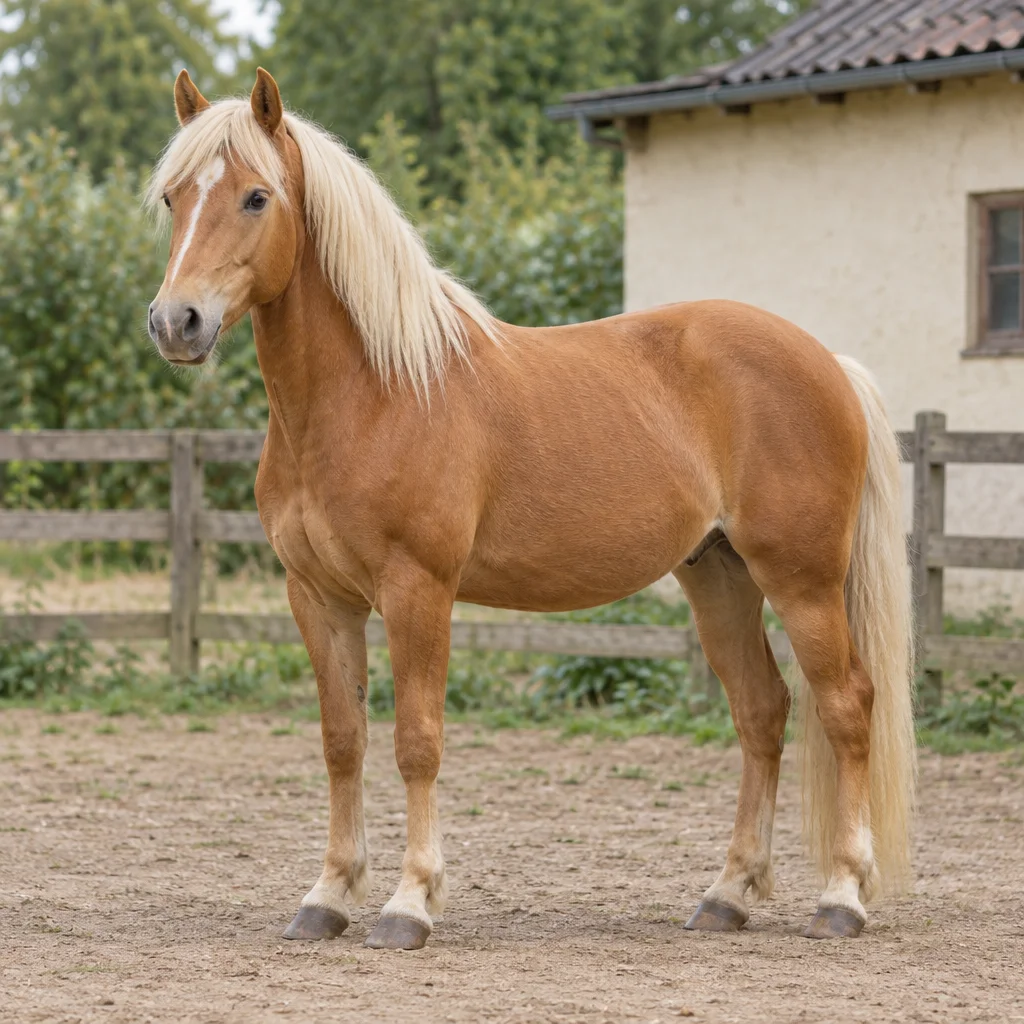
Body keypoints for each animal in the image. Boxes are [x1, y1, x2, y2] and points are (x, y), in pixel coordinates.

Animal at [145, 68, 916, 950]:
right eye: (172, 197)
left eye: (256, 196)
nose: (176, 322)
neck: (375, 391)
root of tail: (829, 362)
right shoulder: (318, 598)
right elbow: (344, 742)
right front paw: (329, 896)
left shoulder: (418, 590)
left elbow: (417, 742)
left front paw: (410, 903)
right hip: (719, 577)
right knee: (762, 711)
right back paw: (726, 894)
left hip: (802, 580)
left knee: (847, 705)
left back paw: (842, 895)